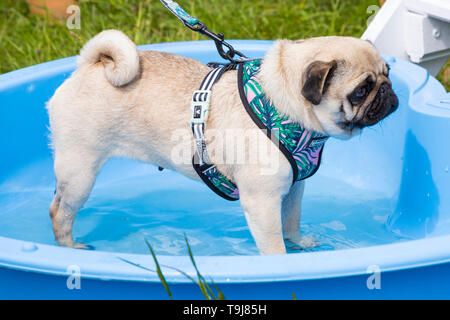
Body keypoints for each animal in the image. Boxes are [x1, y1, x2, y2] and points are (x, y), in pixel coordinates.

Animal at [47, 30, 400, 255]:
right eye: (361, 91)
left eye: (388, 73)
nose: (388, 92)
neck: (281, 106)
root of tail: (91, 65)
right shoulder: (262, 201)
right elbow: (274, 242)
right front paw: (282, 264)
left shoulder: (292, 189)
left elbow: (291, 221)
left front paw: (299, 242)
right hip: (81, 170)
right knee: (60, 210)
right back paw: (70, 247)